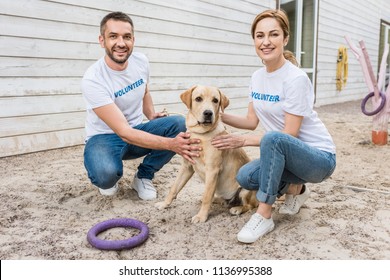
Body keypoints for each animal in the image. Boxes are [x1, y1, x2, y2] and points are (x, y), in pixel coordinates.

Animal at [154, 85, 258, 223]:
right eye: (198, 99)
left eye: (215, 100)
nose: (208, 113)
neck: (200, 134)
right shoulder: (187, 166)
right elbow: (174, 188)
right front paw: (164, 204)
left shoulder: (212, 170)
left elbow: (207, 196)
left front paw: (201, 216)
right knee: (223, 200)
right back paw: (220, 201)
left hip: (245, 189)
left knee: (251, 205)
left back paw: (237, 209)